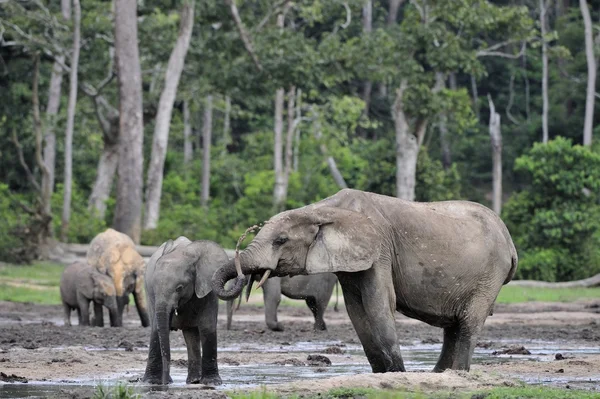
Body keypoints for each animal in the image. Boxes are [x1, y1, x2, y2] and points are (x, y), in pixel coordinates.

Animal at [142, 238, 227, 388]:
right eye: (154, 287)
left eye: (179, 288)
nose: (165, 383)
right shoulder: (152, 295)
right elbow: (156, 329)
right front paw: (151, 382)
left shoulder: (208, 288)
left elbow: (207, 327)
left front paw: (213, 382)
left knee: (191, 335)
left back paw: (194, 381)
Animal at [213, 189, 516, 374]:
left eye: (281, 240)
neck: (322, 210)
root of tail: (509, 240)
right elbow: (356, 310)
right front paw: (383, 372)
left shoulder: (379, 248)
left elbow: (378, 304)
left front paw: (398, 374)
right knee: (453, 326)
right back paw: (440, 374)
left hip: (490, 274)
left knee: (467, 324)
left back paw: (456, 373)